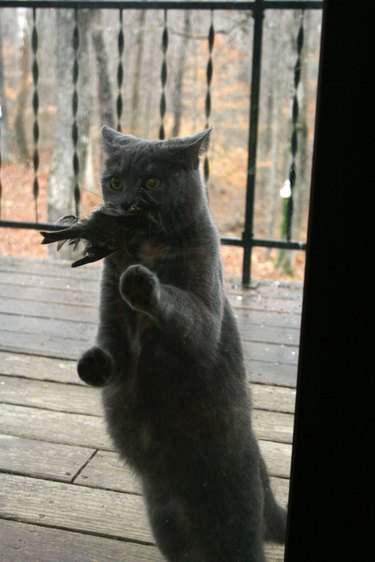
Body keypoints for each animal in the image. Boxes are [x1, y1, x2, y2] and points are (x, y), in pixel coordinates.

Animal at [77, 127, 288, 560]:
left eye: (152, 182)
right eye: (115, 182)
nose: (125, 204)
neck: (146, 248)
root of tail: (266, 486)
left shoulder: (204, 318)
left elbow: (181, 307)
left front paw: (143, 283)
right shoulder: (112, 321)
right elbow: (111, 350)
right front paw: (92, 364)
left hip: (234, 516)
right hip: (167, 521)